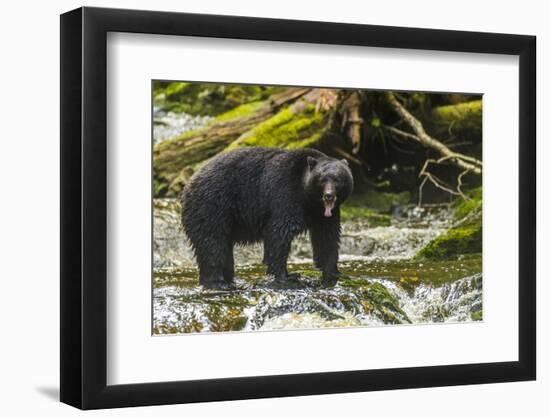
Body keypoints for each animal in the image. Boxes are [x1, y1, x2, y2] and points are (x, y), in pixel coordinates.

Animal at [181, 148, 354, 288]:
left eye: (338, 179)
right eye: (322, 179)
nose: (329, 195)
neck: (309, 199)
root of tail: (188, 185)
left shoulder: (325, 214)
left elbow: (327, 237)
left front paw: (333, 272)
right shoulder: (285, 194)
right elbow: (279, 233)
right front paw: (287, 276)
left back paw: (227, 280)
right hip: (212, 207)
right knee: (212, 243)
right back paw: (217, 282)